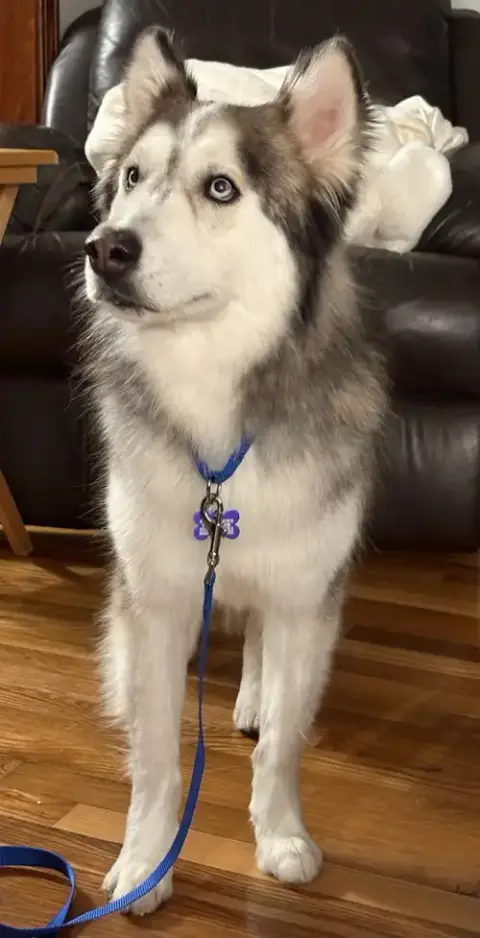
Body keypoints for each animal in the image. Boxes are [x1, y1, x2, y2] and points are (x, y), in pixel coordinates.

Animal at [83, 26, 386, 915]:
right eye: (131, 178)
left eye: (221, 188)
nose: (104, 250)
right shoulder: (152, 597)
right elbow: (156, 754)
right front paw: (147, 860)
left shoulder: (305, 593)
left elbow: (283, 738)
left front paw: (280, 835)